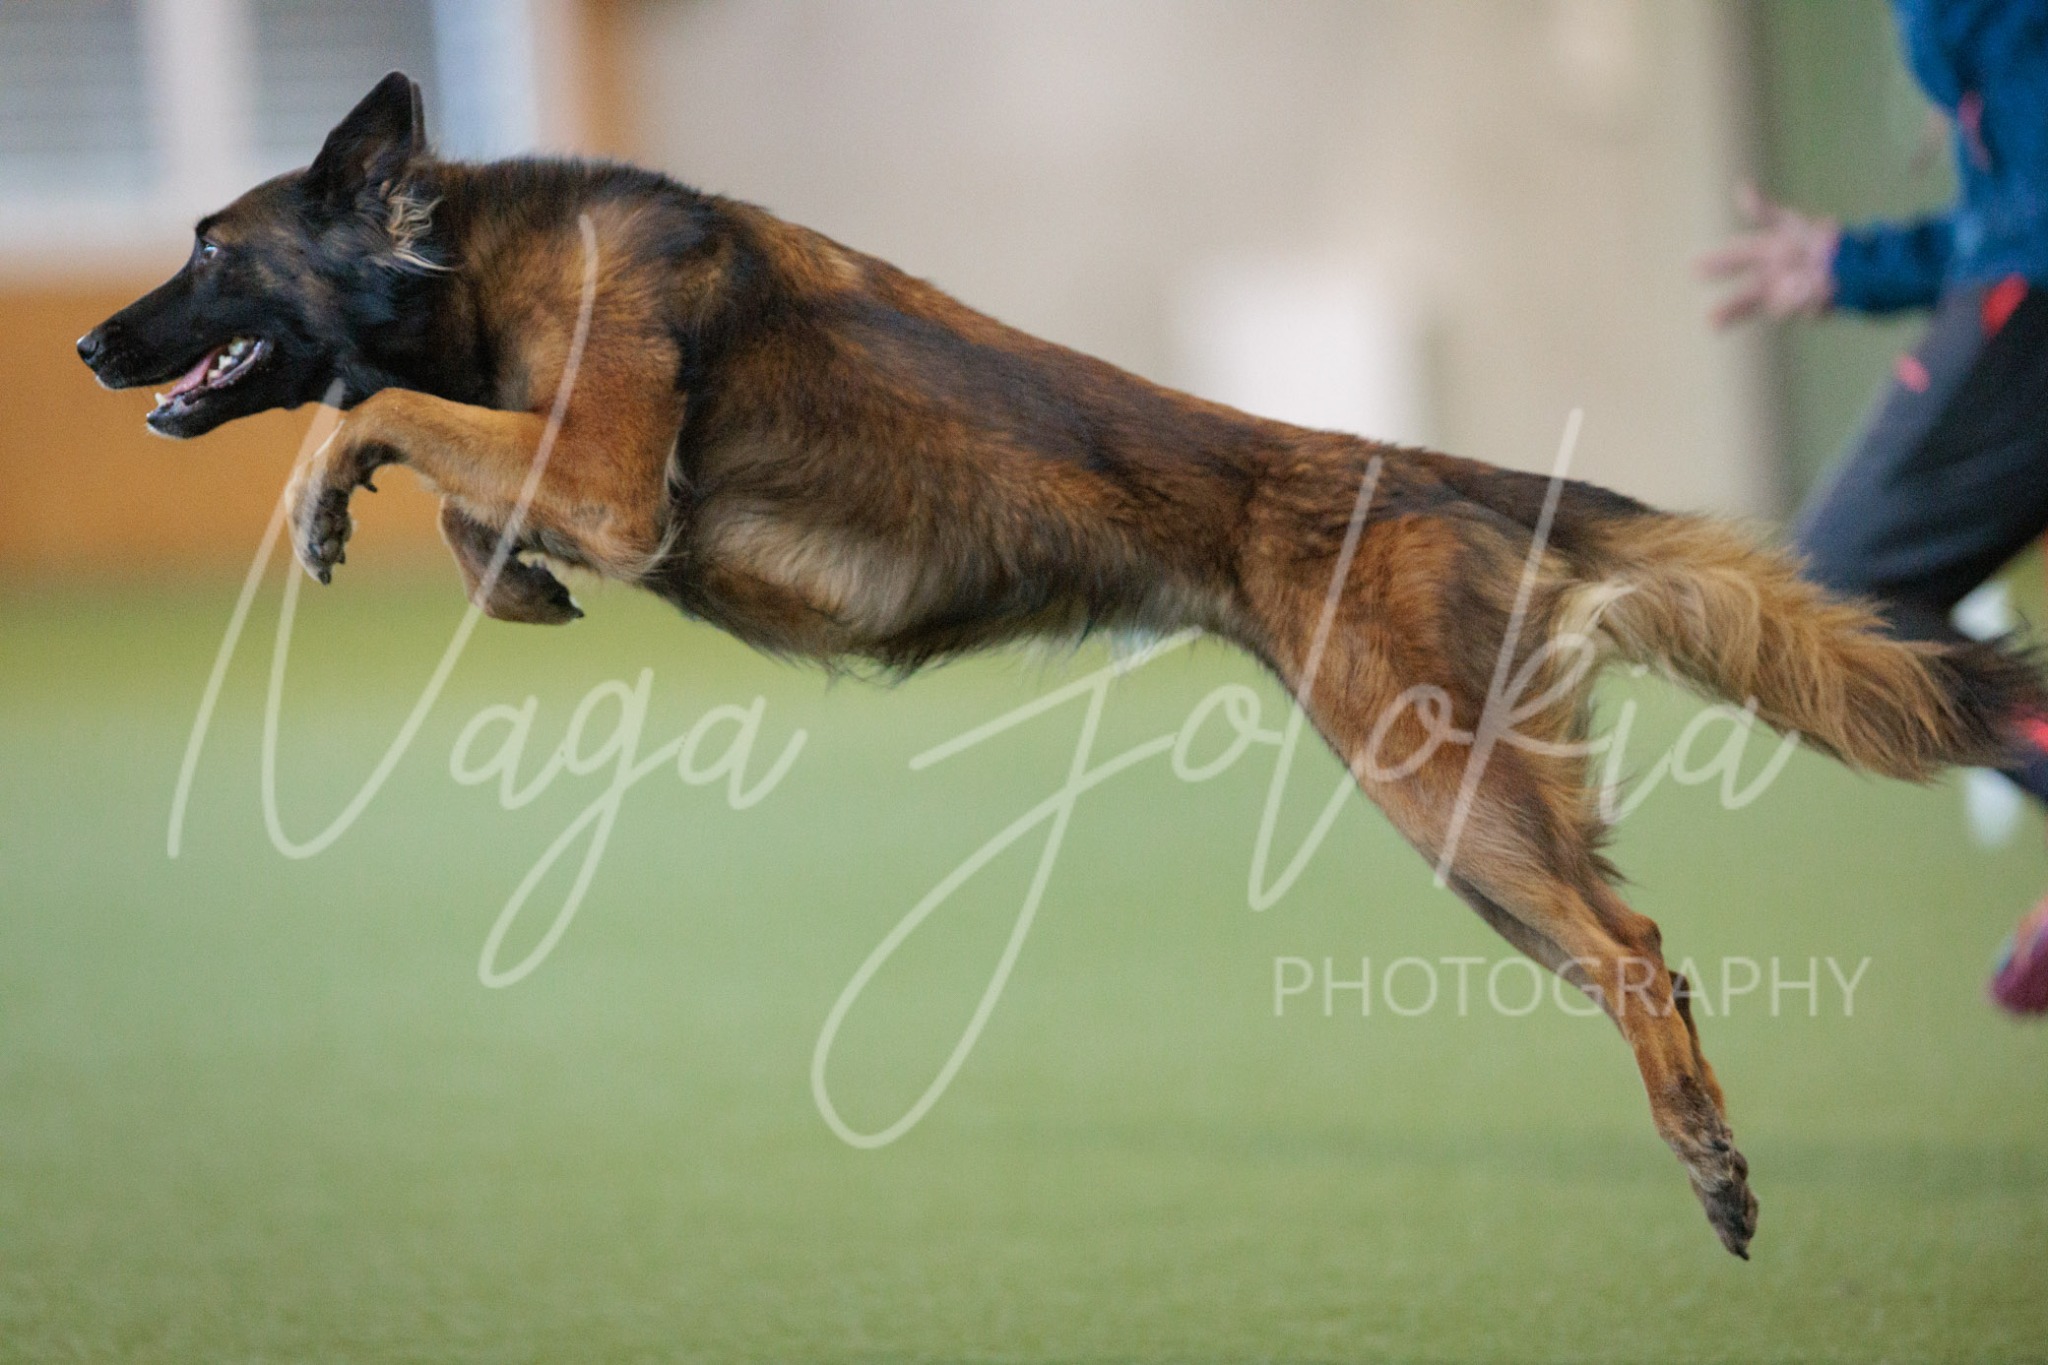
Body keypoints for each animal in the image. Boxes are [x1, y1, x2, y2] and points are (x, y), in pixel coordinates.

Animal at [78, 72, 2043, 1258]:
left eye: (205, 251)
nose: (88, 344)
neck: (478, 259)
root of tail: (1422, 465)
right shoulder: (583, 478)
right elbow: (447, 469)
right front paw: (494, 578)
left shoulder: (615, 475)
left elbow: (384, 420)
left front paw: (348, 498)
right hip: (1476, 812)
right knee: (1632, 942)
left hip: (1442, 792)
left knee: (1634, 947)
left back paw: (1710, 1160)